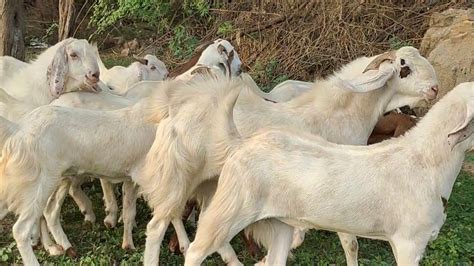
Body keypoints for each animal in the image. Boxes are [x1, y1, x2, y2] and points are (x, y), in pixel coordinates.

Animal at [142, 46, 440, 264]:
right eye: (404, 67)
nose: (435, 88)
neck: (337, 115)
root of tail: (172, 111)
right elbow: (351, 243)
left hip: (213, 184)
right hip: (179, 176)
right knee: (158, 226)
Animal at [184, 81, 474, 266]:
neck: (425, 162)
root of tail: (241, 143)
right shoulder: (409, 243)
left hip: (279, 223)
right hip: (231, 209)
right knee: (196, 250)